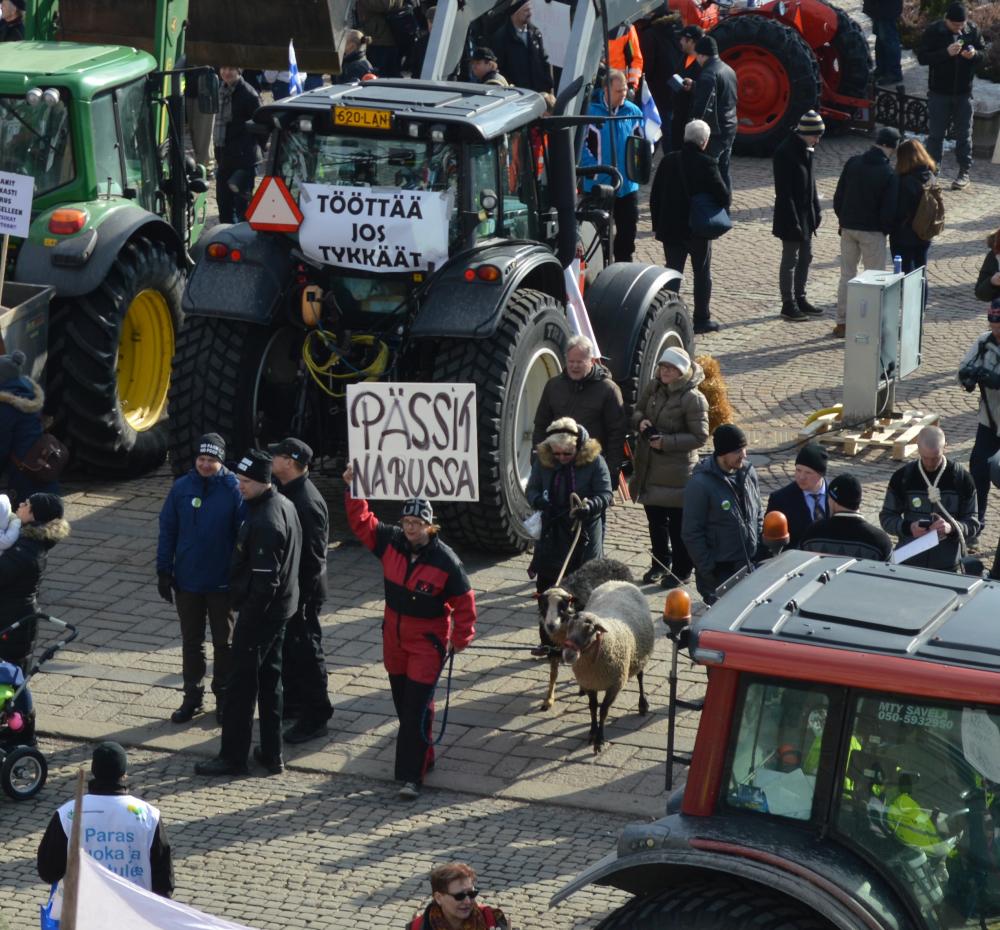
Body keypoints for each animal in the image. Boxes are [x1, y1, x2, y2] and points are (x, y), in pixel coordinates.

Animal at [536, 560, 628, 712]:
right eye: (544, 606)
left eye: (562, 607)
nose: (550, 626)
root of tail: (615, 562)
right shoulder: (552, 649)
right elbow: (553, 675)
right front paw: (548, 700)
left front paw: (582, 689)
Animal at [564, 584, 656, 752]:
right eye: (568, 627)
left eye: (590, 630)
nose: (568, 654)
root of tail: (617, 581)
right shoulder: (589, 683)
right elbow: (593, 707)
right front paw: (592, 732)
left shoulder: (615, 685)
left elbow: (603, 711)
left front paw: (599, 740)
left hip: (639, 656)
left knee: (640, 677)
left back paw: (642, 704)